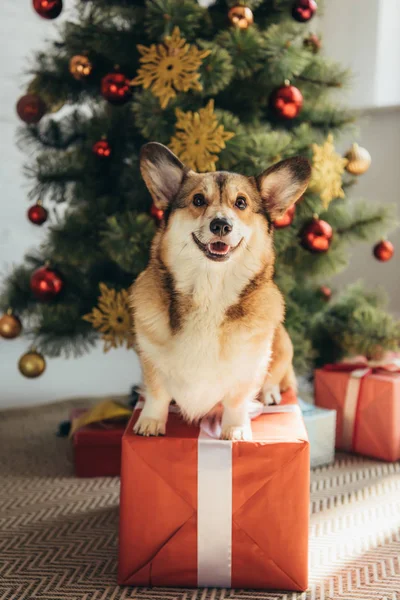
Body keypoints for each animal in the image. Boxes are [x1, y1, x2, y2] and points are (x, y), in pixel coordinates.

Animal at [130, 142, 310, 438]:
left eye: (241, 203)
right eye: (198, 200)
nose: (222, 224)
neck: (209, 288)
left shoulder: (247, 367)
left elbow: (236, 401)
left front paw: (235, 429)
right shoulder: (151, 358)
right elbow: (157, 394)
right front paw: (151, 421)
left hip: (282, 344)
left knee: (277, 378)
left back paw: (270, 394)